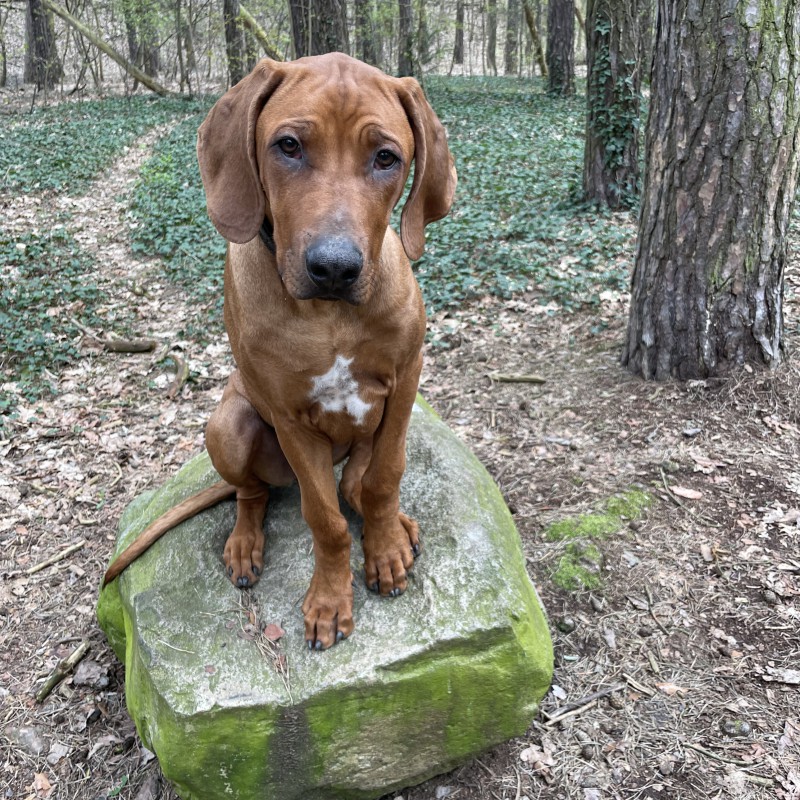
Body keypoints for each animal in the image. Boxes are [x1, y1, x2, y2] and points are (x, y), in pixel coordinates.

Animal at [103, 53, 457, 651]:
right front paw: (330, 599)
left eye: (387, 157)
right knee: (252, 493)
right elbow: (324, 518)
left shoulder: (408, 376)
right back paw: (245, 542)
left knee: (356, 481)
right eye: (288, 146)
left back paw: (393, 523)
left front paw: (385, 548)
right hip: (228, 424)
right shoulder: (291, 417)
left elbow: (385, 477)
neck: (330, 317)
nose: (334, 268)